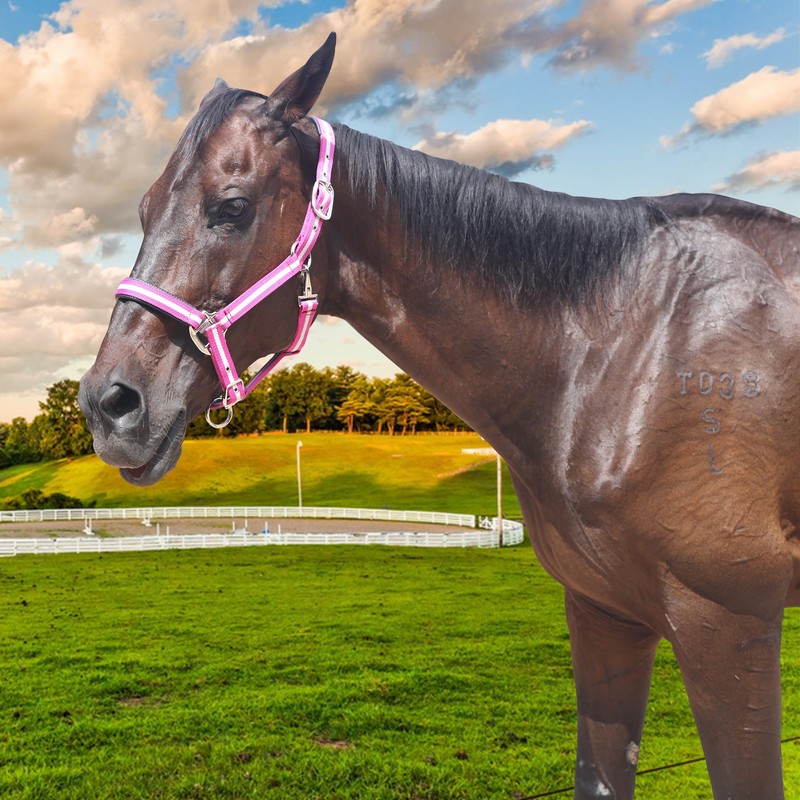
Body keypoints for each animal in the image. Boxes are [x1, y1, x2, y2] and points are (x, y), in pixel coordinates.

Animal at [78, 33, 800, 799]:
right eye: (144, 209)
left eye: (233, 206)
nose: (109, 403)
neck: (625, 348)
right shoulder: (606, 614)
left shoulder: (728, 625)